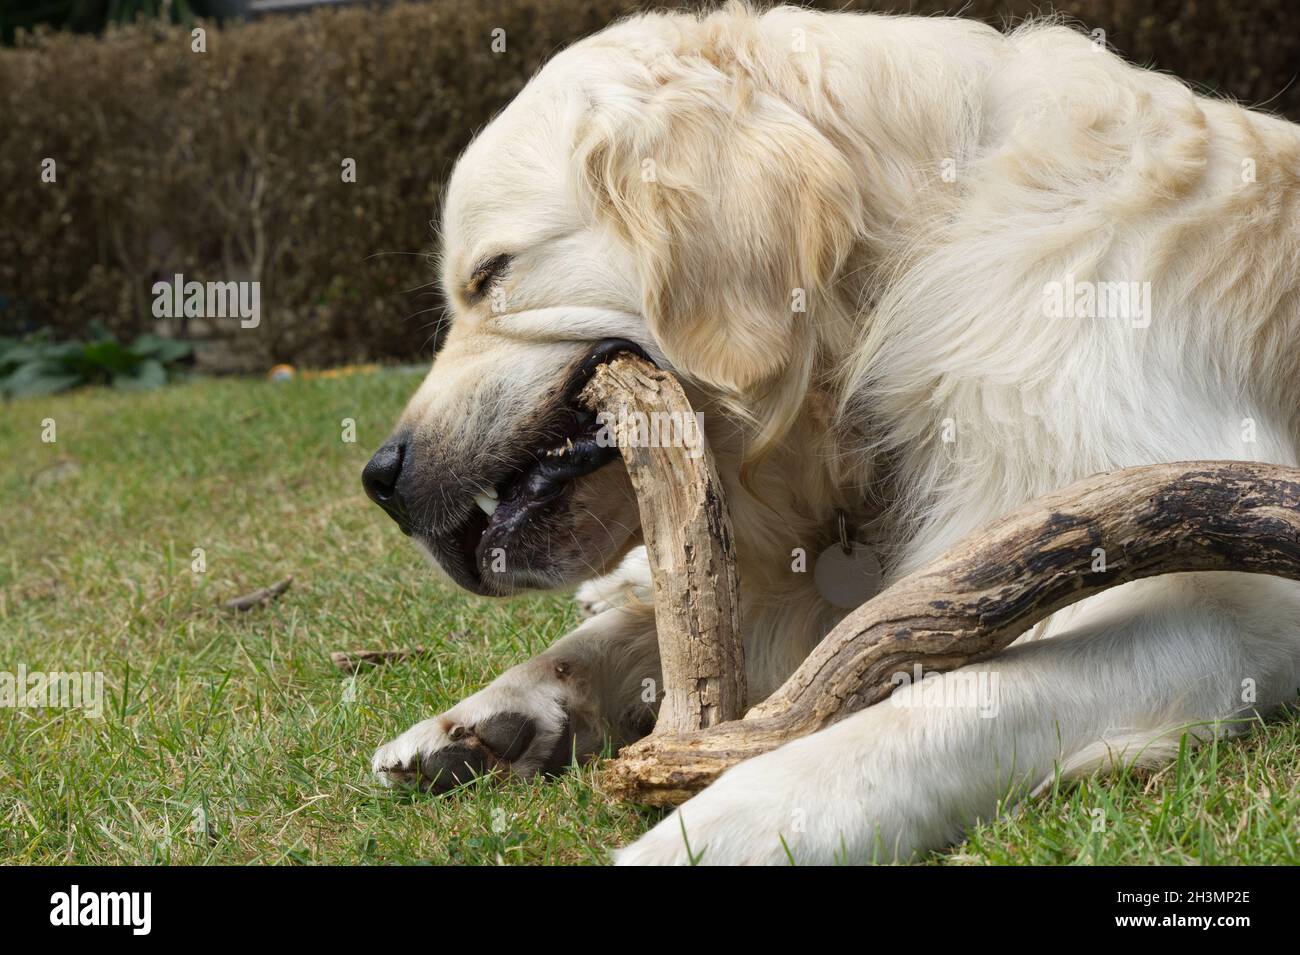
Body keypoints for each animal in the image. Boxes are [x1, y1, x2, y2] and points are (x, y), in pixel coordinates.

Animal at [361, 1, 1300, 867]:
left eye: (491, 274)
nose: (380, 477)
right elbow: (636, 635)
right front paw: (492, 713)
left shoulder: (1216, 572)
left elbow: (946, 707)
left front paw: (726, 824)